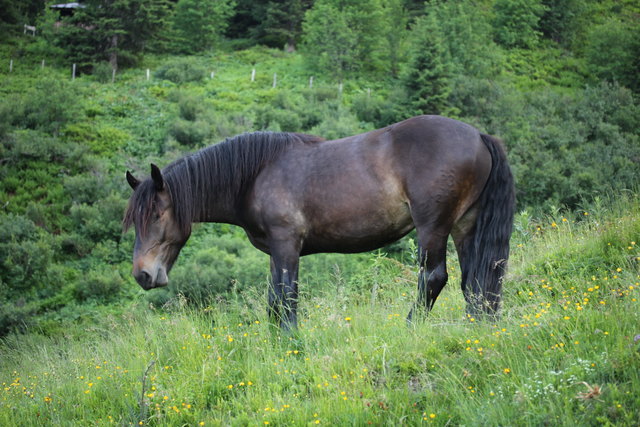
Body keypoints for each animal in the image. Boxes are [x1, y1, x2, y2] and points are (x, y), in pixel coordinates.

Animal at [124, 115, 516, 330]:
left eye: (157, 214)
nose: (143, 275)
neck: (256, 175)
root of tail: (479, 136)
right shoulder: (276, 251)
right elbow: (274, 299)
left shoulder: (287, 244)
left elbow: (287, 296)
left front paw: (289, 341)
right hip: (464, 226)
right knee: (475, 280)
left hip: (433, 227)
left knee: (434, 277)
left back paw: (409, 328)